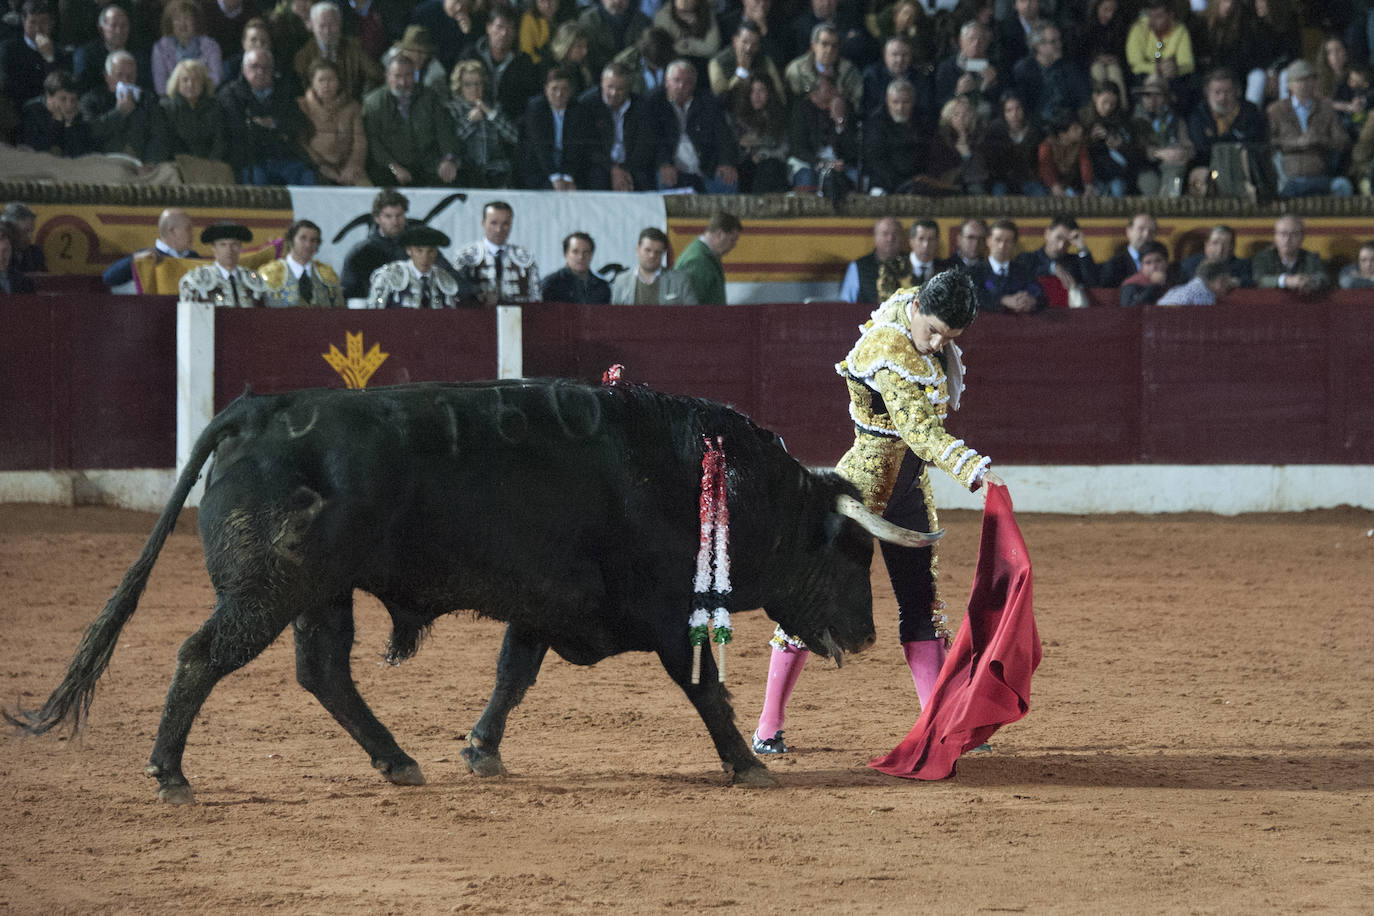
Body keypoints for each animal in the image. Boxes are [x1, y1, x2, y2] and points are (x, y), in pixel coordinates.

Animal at [10, 379, 939, 802]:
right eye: (849, 555)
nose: (864, 634)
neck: (714, 480)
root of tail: (259, 408)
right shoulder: (671, 616)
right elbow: (706, 691)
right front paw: (745, 763)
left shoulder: (542, 602)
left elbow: (511, 675)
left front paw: (480, 750)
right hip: (271, 588)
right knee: (205, 654)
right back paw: (170, 772)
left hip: (321, 592)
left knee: (324, 672)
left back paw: (398, 760)